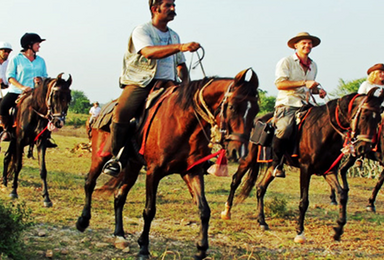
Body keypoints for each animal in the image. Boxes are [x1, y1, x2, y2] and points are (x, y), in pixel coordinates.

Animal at [0, 73, 71, 207]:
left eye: (69, 98)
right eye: (55, 96)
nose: (59, 122)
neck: (34, 113)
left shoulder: (40, 142)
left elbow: (43, 169)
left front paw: (46, 198)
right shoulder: (20, 141)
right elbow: (18, 165)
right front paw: (13, 192)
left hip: (13, 141)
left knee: (7, 157)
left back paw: (5, 181)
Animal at [76, 68, 260, 258]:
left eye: (256, 110)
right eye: (232, 107)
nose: (239, 152)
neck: (183, 122)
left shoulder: (191, 171)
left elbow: (204, 210)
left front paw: (201, 248)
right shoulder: (153, 172)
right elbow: (149, 210)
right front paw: (143, 248)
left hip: (133, 166)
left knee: (119, 196)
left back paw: (119, 234)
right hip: (100, 157)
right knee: (90, 182)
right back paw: (83, 221)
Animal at [220, 90, 382, 244]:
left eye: (379, 119)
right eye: (364, 117)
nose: (363, 148)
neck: (324, 131)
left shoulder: (329, 171)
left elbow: (342, 195)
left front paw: (338, 230)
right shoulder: (305, 169)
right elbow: (304, 201)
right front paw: (300, 233)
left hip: (272, 166)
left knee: (260, 188)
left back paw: (262, 222)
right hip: (247, 160)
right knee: (235, 180)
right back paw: (226, 212)